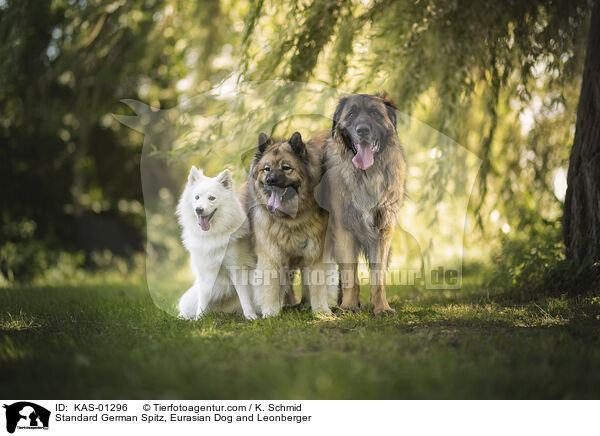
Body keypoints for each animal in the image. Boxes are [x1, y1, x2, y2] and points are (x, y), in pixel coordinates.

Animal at [175, 167, 256, 320]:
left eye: (211, 198)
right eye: (197, 197)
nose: (199, 209)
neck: (212, 234)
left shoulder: (237, 269)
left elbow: (244, 297)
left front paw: (250, 315)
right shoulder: (205, 272)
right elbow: (203, 299)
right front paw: (199, 319)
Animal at [314, 93, 408, 316]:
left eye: (375, 113)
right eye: (351, 114)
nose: (362, 130)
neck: (367, 175)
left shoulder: (382, 231)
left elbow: (378, 279)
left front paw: (381, 307)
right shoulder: (343, 230)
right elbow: (350, 275)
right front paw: (348, 306)